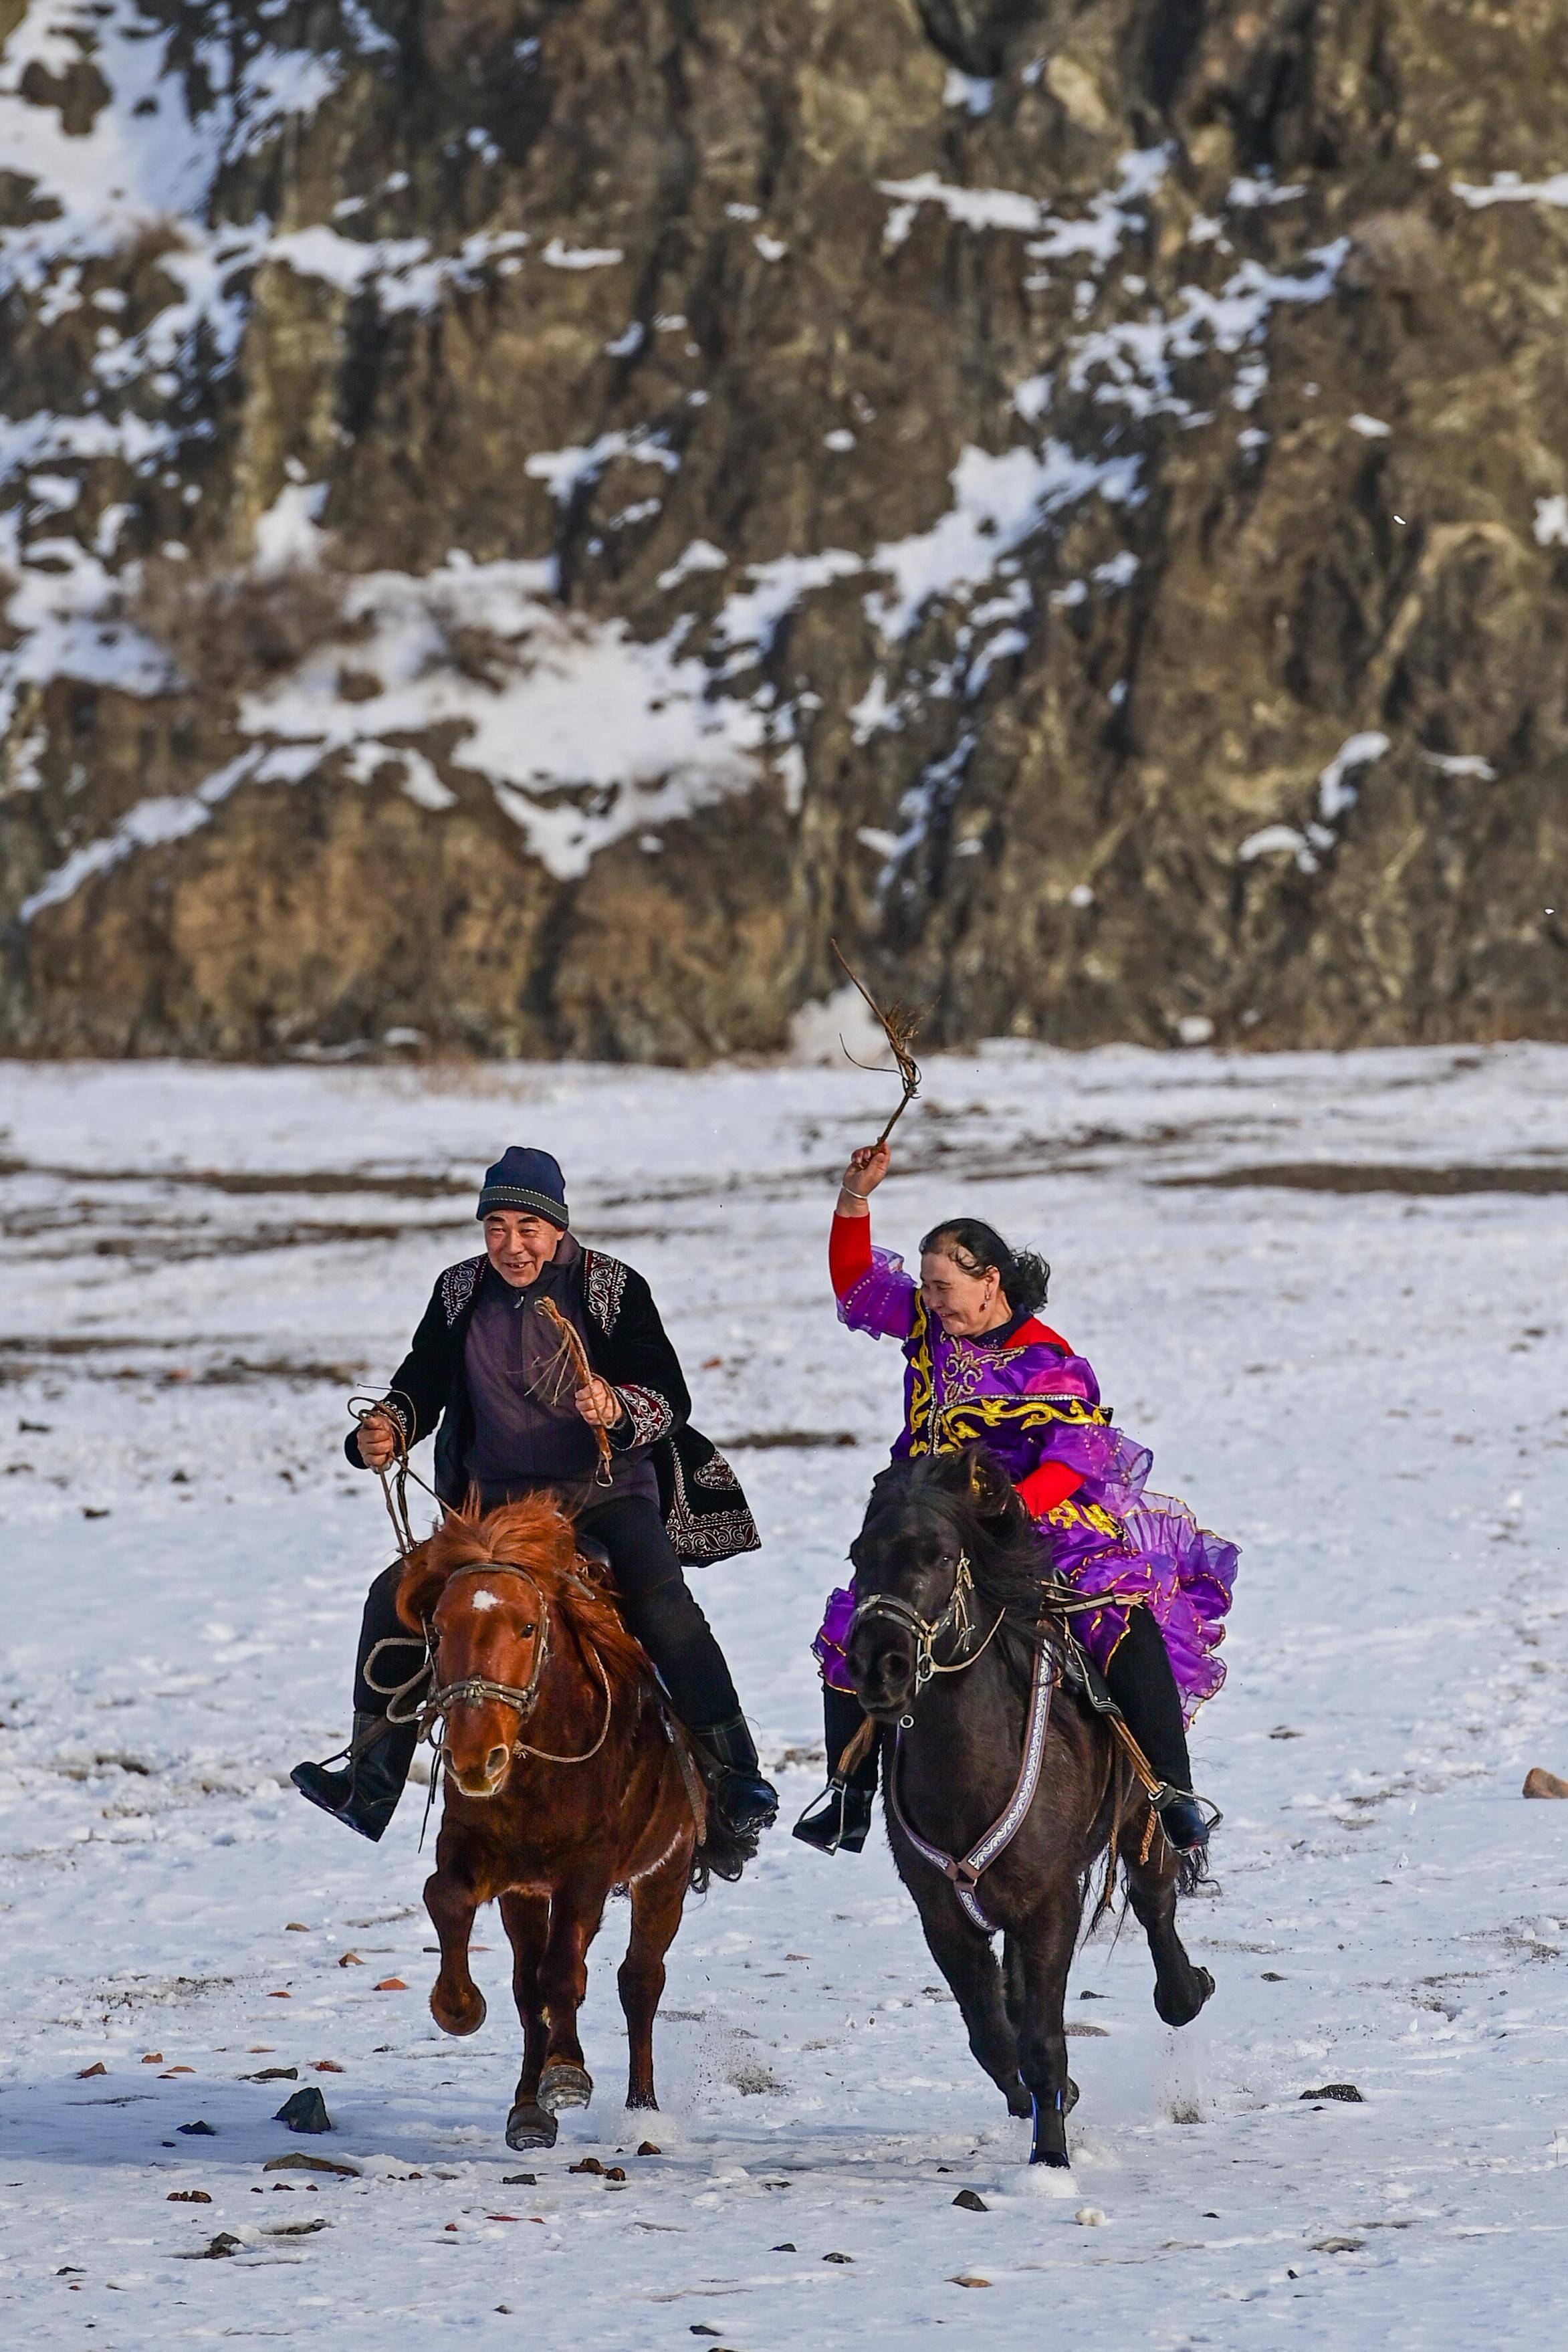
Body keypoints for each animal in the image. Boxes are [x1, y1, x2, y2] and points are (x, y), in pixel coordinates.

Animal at [402, 1505, 700, 2154]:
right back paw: (527, 2110)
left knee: (640, 1979)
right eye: (437, 1630)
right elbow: (445, 1897)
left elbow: (565, 1968)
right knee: (526, 1984)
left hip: (664, 1871)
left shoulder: (587, 1864)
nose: (474, 1758)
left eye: (525, 1628)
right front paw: (458, 2006)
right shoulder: (484, 1853)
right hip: (527, 1893)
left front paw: (565, 2074)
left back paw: (641, 2110)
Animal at [846, 1449, 1213, 2163]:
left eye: (938, 1555)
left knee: (1155, 1908)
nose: (879, 1666)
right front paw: (1050, 2105)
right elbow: (993, 2035)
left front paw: (1050, 2159)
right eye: (857, 1555)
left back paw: (1188, 1989)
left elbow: (1041, 2040)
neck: (968, 1778)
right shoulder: (942, 1915)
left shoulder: (1050, 1903)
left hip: (1142, 1820)